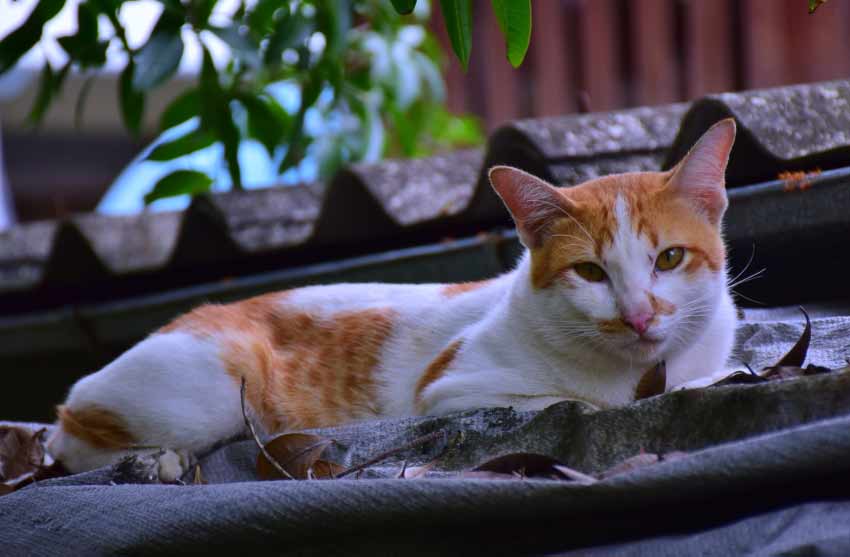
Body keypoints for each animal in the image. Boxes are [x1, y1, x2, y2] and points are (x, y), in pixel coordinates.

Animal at [48, 118, 736, 474]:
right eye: (591, 272)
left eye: (668, 259)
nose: (639, 314)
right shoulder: (456, 388)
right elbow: (580, 402)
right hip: (207, 397)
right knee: (71, 441)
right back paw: (156, 460)